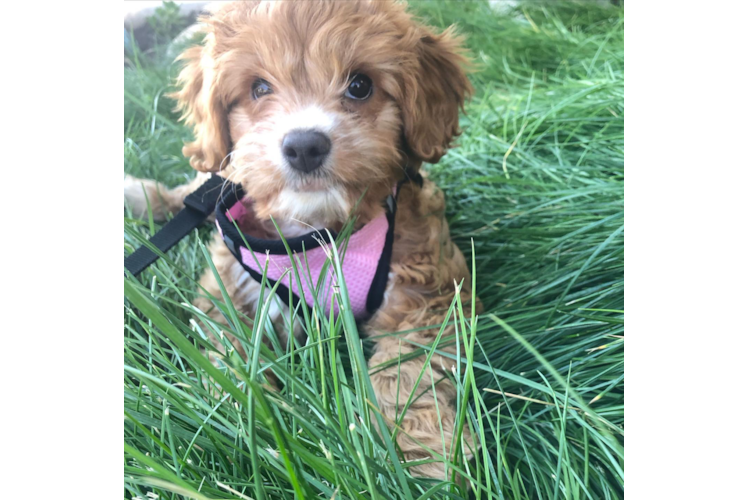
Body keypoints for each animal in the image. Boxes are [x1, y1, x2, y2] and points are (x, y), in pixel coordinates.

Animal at [127, 0, 480, 476]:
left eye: (360, 85)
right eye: (259, 88)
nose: (304, 146)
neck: (317, 229)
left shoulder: (429, 292)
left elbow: (408, 368)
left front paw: (424, 456)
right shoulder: (229, 286)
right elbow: (229, 350)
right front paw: (243, 415)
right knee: (191, 189)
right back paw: (139, 197)